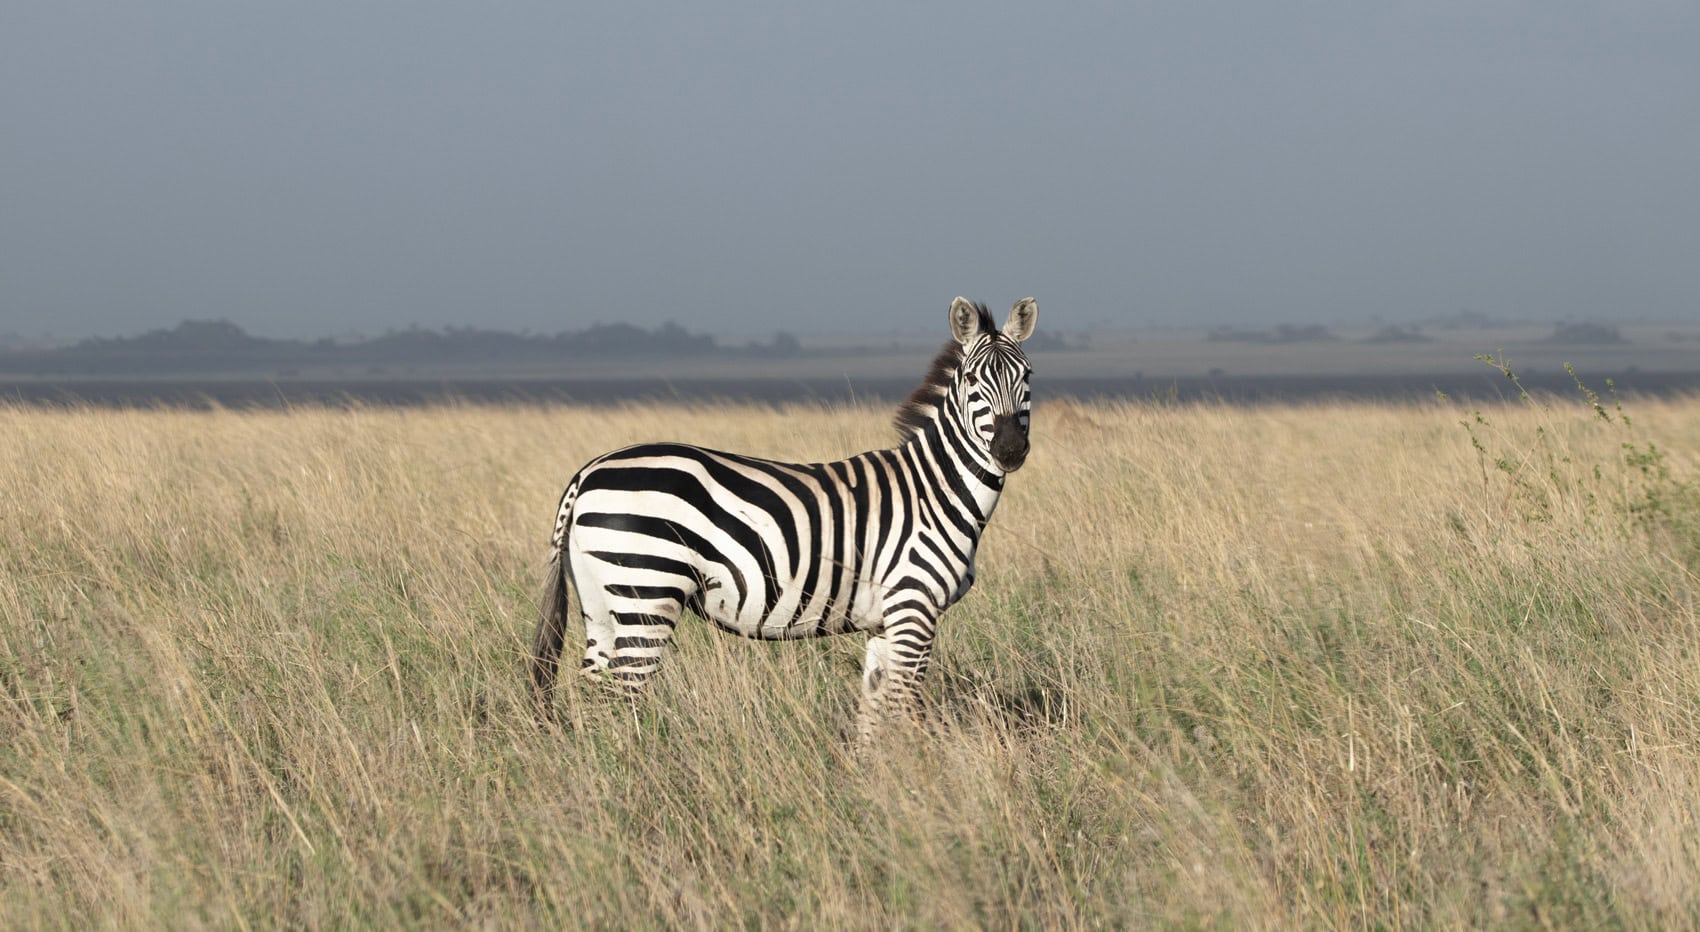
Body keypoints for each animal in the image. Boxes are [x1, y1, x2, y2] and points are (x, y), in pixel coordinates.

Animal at [531, 296, 1037, 745]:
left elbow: (873, 712)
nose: (1010, 450)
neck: (935, 489)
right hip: (648, 591)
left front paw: (873, 776)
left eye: (1027, 375)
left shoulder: (884, 621)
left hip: (600, 599)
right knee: (623, 697)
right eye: (971, 379)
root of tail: (588, 472)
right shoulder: (914, 607)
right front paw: (914, 771)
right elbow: (903, 706)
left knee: (595, 694)